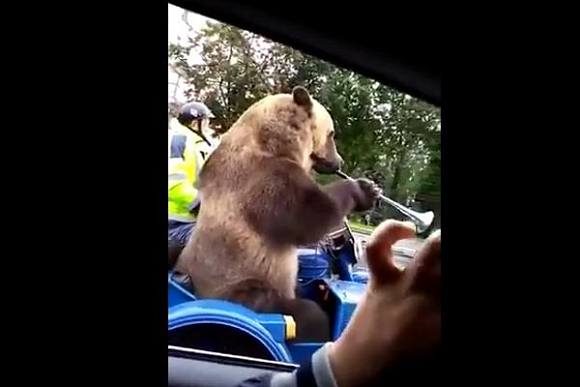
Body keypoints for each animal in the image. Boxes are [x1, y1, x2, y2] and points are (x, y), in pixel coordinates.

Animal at [179, 86, 378, 342]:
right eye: (332, 133)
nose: (339, 161)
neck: (276, 141)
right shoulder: (262, 179)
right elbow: (308, 215)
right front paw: (362, 189)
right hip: (242, 286)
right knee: (300, 313)